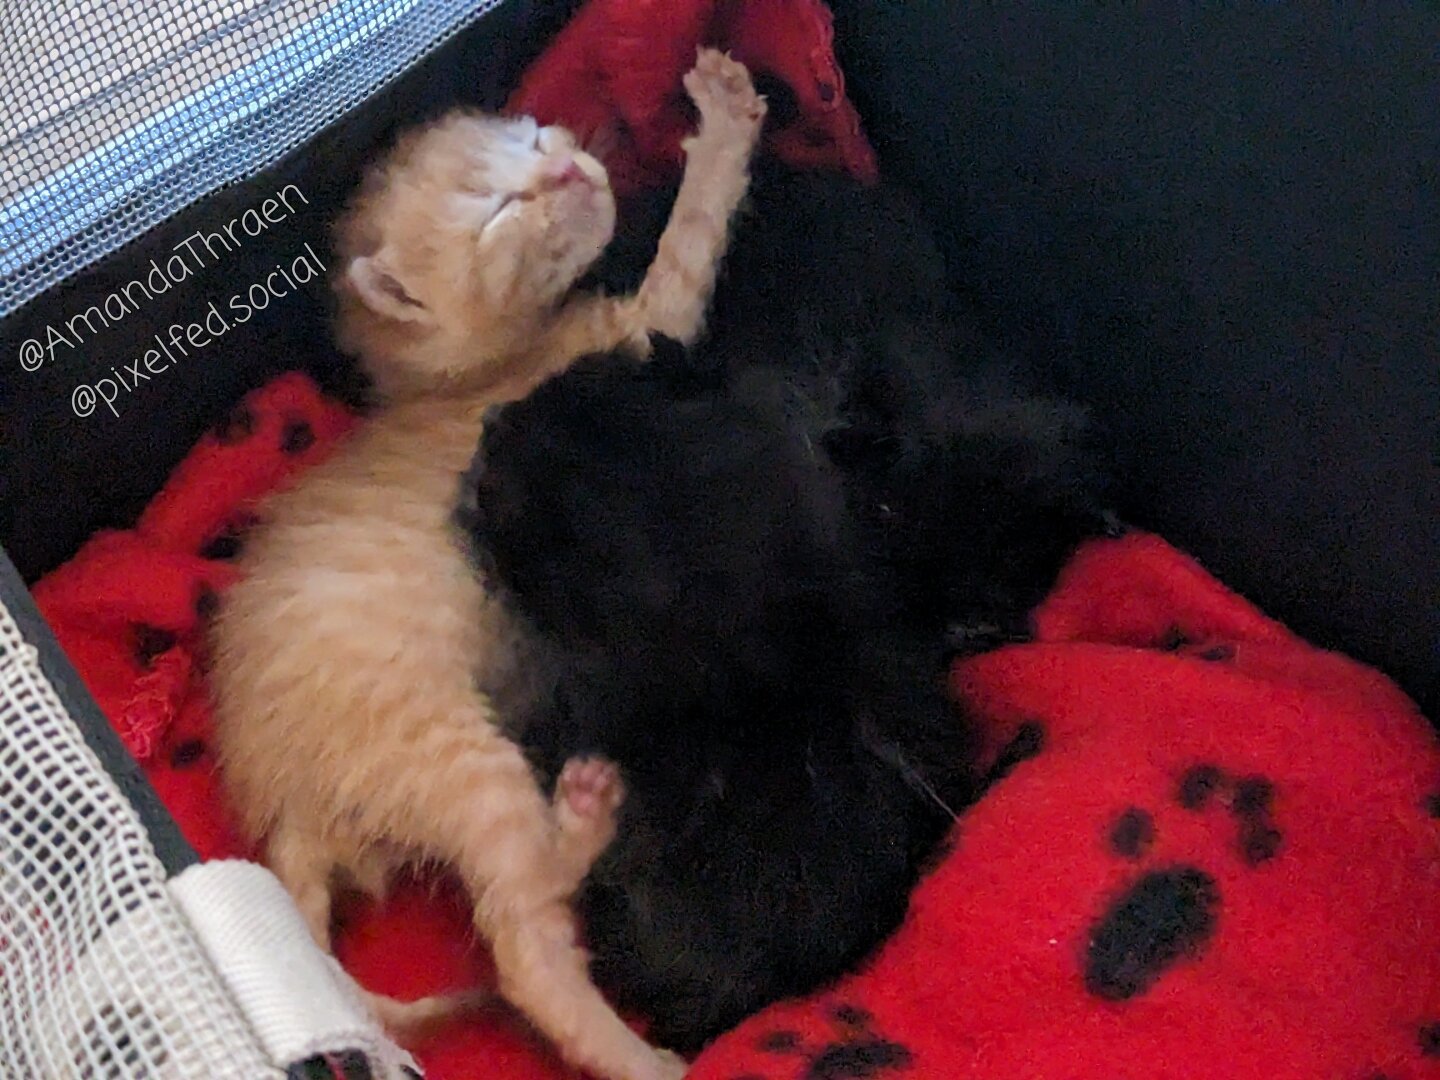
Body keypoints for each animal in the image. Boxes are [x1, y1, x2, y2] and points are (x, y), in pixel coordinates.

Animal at [208, 52, 766, 1080]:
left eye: (539, 137)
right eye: (502, 208)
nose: (572, 169)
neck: (461, 377)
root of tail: (284, 808)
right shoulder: (639, 329)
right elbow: (688, 247)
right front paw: (721, 124)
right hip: (459, 755)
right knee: (519, 938)